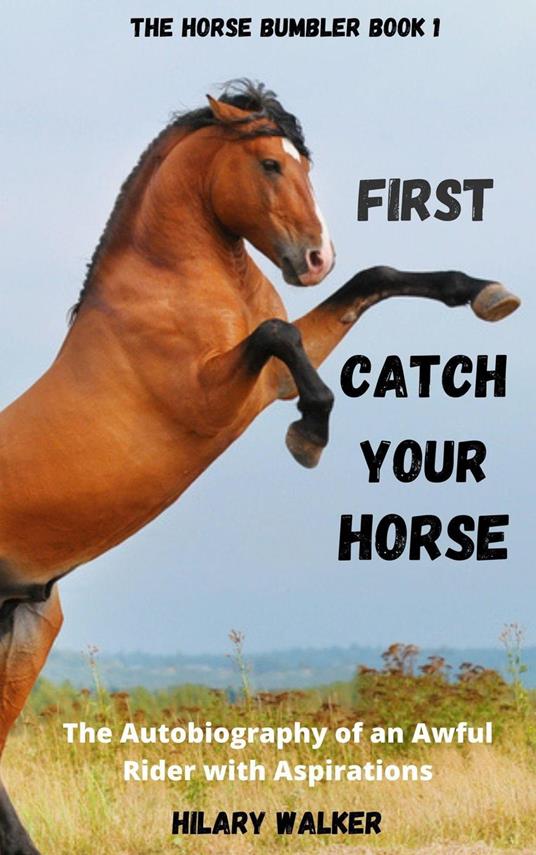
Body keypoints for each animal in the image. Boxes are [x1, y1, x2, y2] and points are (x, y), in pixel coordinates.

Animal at [0, 79, 520, 853]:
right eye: (271, 165)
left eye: (303, 161)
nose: (314, 258)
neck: (176, 283)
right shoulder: (211, 397)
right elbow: (280, 336)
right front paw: (311, 434)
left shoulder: (265, 378)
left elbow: (369, 282)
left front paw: (487, 294)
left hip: (26, 631)